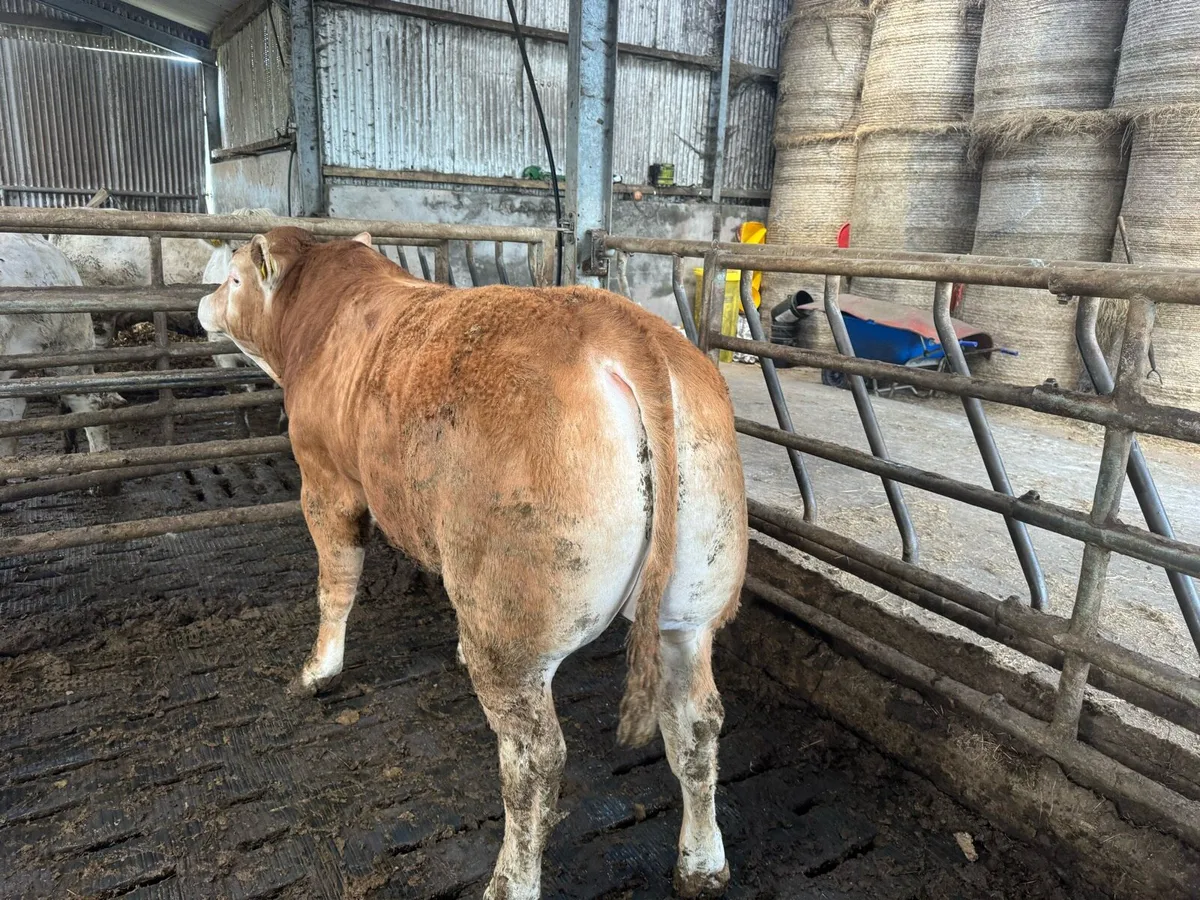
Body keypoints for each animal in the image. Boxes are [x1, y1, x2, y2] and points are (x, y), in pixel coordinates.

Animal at [198, 228, 747, 900]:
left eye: (232, 279)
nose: (202, 304)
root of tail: (624, 327)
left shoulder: (325, 480)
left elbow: (336, 582)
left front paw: (317, 671)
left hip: (514, 634)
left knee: (534, 761)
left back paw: (509, 882)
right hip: (693, 604)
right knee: (696, 723)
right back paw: (702, 864)